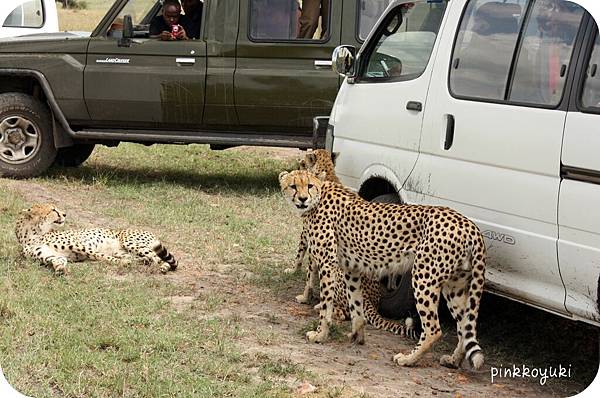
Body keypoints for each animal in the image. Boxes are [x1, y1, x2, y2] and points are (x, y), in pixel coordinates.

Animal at [15, 204, 177, 276]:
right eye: (53, 210)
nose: (65, 214)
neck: (34, 234)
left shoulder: (81, 246)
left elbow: (102, 256)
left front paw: (121, 264)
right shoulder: (50, 255)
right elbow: (58, 260)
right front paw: (59, 269)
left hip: (130, 241)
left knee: (157, 258)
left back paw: (158, 267)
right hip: (124, 251)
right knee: (150, 258)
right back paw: (145, 263)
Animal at [282, 169, 488, 368]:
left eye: (309, 185)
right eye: (293, 186)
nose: (302, 199)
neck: (319, 197)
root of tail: (470, 225)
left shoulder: (327, 263)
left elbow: (326, 304)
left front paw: (320, 335)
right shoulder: (351, 269)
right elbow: (356, 306)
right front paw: (357, 337)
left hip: (423, 278)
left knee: (433, 330)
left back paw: (408, 359)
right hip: (455, 286)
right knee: (464, 327)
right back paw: (453, 360)